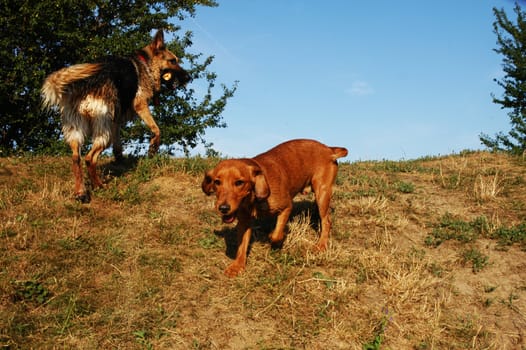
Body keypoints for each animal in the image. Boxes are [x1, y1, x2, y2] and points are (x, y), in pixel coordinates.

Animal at [42, 30, 192, 202]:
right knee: (89, 158)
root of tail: (83, 84)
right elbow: (156, 129)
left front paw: (120, 158)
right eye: (172, 61)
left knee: (76, 158)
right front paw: (153, 148)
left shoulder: (116, 120)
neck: (145, 63)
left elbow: (118, 143)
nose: (189, 78)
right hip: (103, 131)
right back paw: (98, 185)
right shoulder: (140, 105)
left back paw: (81, 192)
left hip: (76, 130)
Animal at [203, 138, 350, 278]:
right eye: (217, 182)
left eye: (239, 182)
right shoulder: (244, 222)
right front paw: (237, 266)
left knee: (327, 221)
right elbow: (242, 246)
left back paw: (321, 245)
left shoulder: (286, 207)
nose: (223, 208)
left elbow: (276, 234)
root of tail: (328, 149)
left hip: (322, 193)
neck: (254, 197)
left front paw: (278, 236)